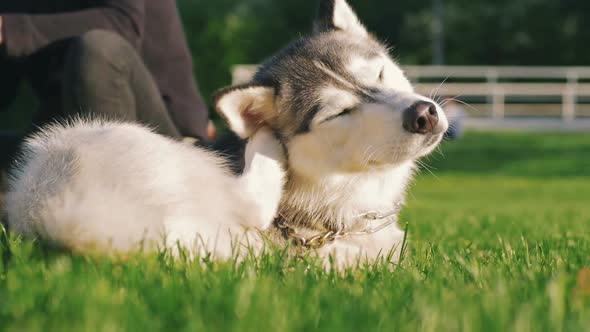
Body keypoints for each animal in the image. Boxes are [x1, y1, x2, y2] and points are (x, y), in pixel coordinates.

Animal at [3, 0, 448, 264]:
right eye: (339, 112)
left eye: (380, 72)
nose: (423, 114)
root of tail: (47, 209)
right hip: (136, 146)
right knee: (247, 202)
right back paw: (265, 143)